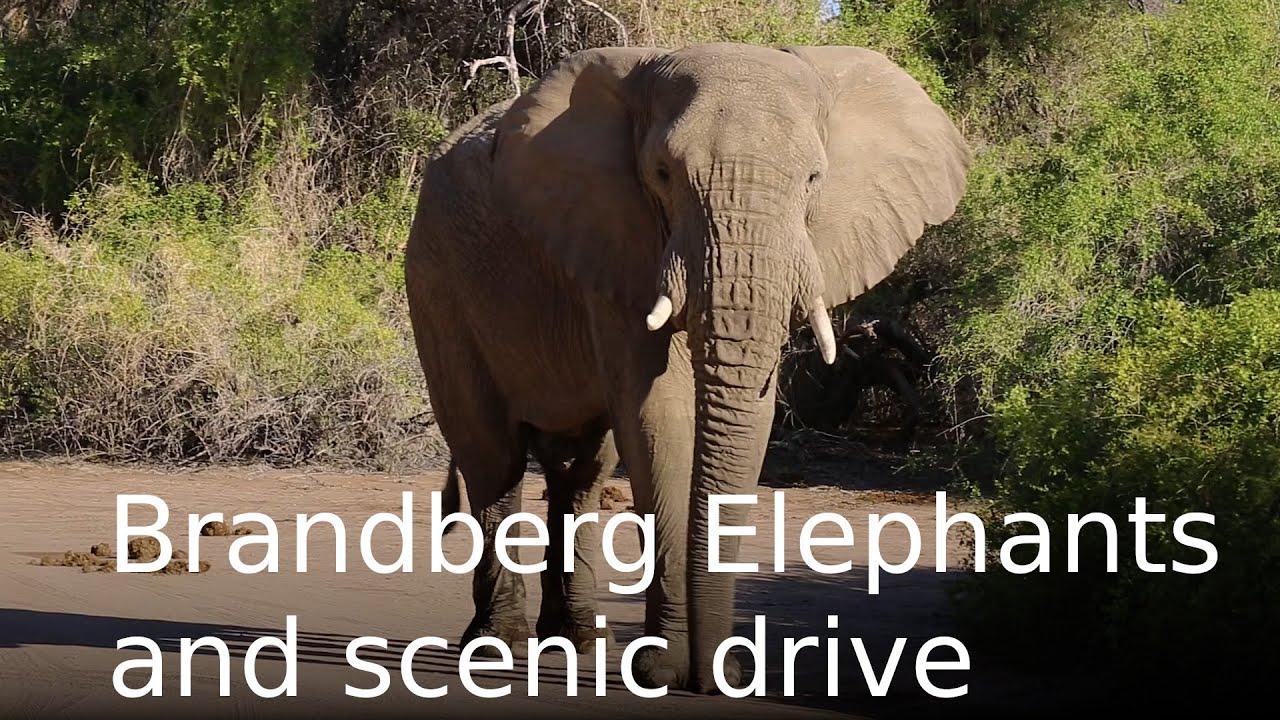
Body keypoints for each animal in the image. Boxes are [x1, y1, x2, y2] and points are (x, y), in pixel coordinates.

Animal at [404, 41, 972, 694]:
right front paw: (663, 670)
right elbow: (660, 414)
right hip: (436, 279)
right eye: (662, 174)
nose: (716, 673)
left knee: (582, 469)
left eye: (813, 180)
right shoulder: (617, 239)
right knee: (492, 456)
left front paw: (712, 673)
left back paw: (579, 640)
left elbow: (746, 411)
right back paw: (498, 644)